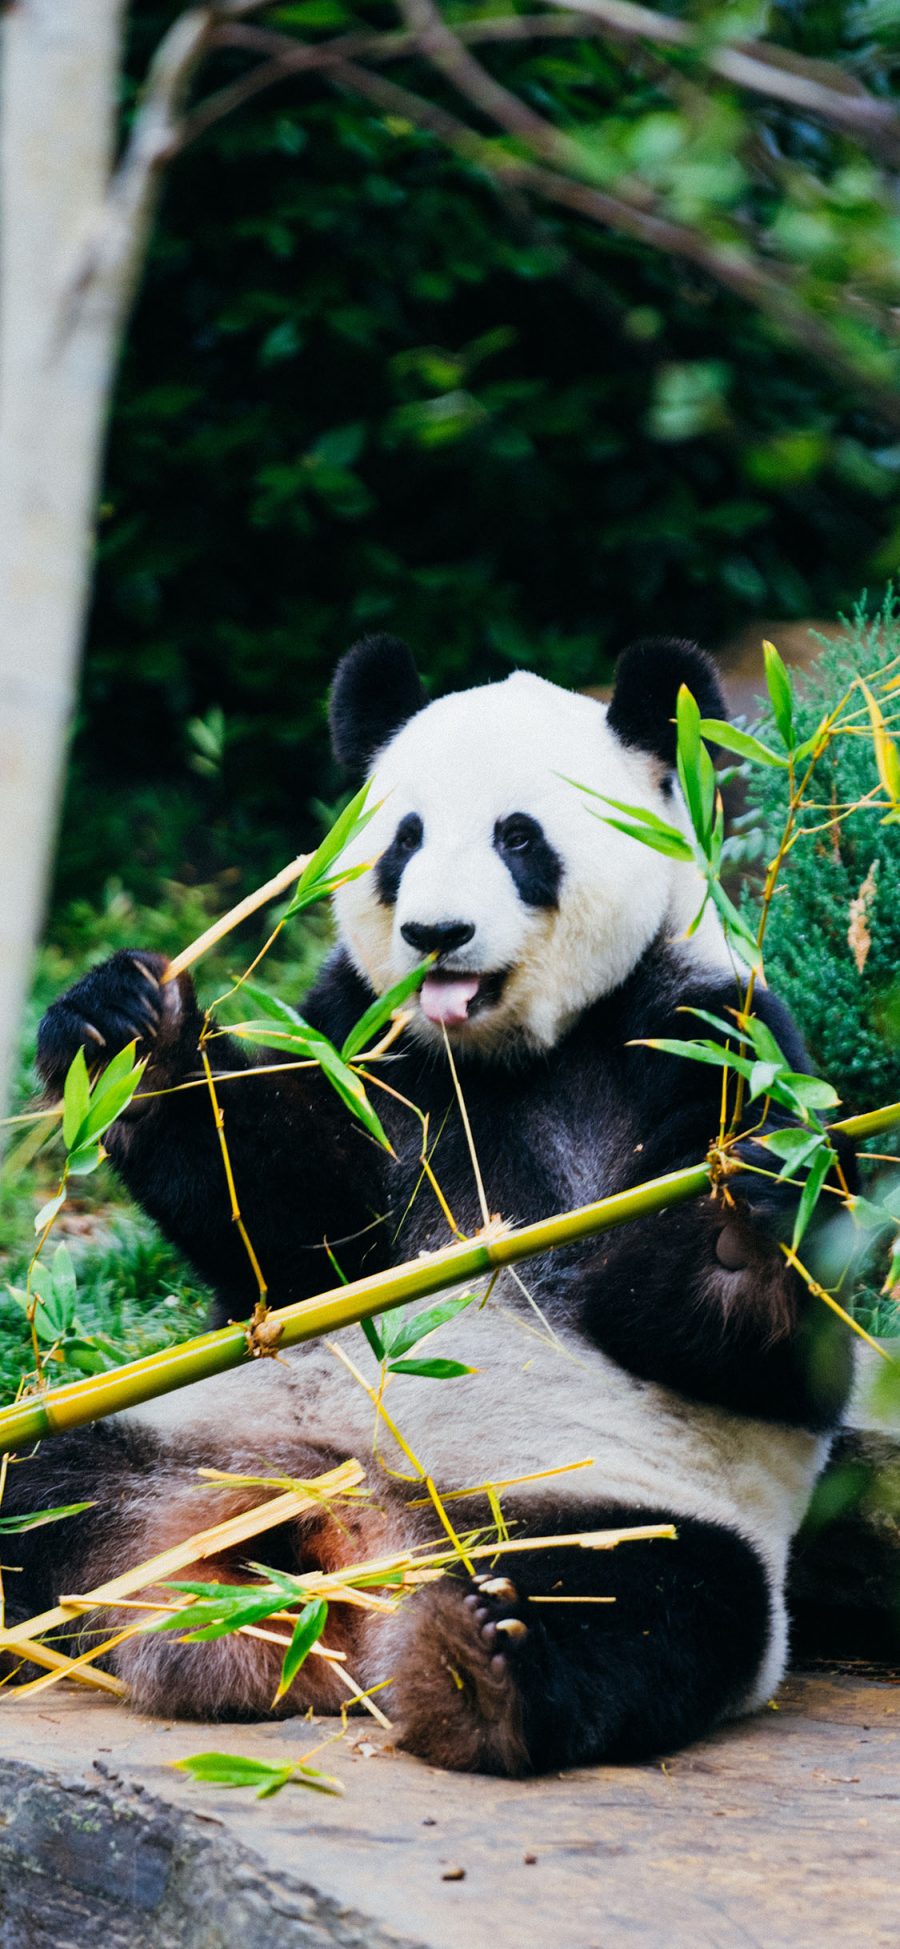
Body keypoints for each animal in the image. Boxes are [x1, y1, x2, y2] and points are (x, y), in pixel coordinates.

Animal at [10, 643, 845, 1785]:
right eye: (403, 839)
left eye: (518, 836)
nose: (435, 934)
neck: (498, 1049)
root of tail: (343, 1549)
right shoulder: (359, 1039)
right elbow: (290, 1234)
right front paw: (128, 1032)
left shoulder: (712, 1030)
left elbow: (761, 1346)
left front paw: (743, 1214)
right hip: (181, 1439)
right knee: (36, 1493)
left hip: (605, 1508)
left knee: (653, 1598)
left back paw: (485, 1662)